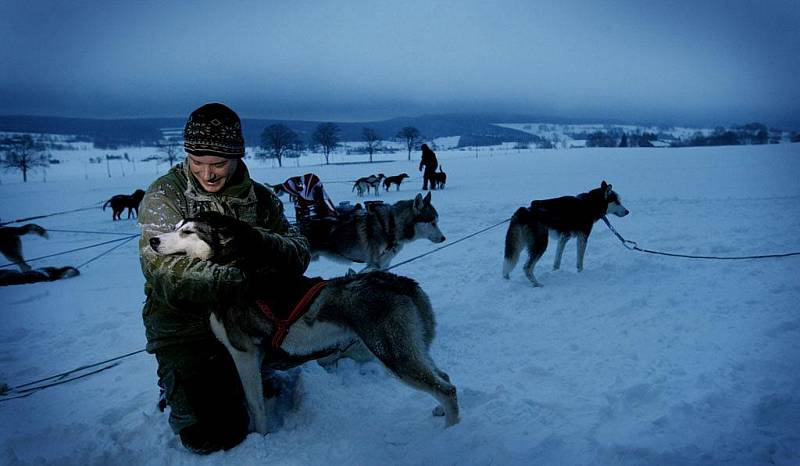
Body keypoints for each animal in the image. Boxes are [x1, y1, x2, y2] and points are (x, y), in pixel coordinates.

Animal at [150, 211, 460, 434]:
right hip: (407, 350)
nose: (153, 241)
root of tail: (400, 282)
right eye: (175, 226)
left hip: (393, 355)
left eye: (187, 231)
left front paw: (259, 438)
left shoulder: (244, 355)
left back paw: (451, 431)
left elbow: (255, 406)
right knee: (443, 376)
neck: (230, 268)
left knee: (446, 388)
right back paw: (442, 413)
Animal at [310, 192, 446, 272]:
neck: (390, 226)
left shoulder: (384, 265)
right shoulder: (373, 264)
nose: (444, 238)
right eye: (432, 222)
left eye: (437, 221)